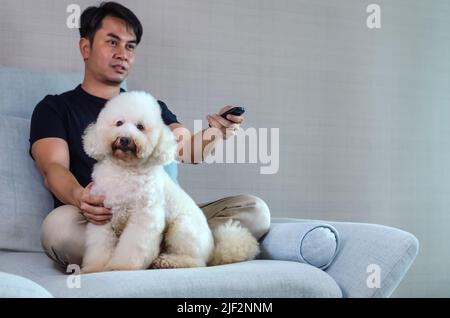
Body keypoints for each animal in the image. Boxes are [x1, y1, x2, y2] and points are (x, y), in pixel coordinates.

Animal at [79, 90, 258, 272]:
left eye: (140, 127)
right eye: (119, 123)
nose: (124, 139)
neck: (125, 171)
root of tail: (213, 251)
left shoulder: (144, 217)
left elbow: (132, 247)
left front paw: (121, 266)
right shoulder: (102, 217)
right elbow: (100, 247)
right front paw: (95, 268)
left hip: (182, 229)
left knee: (196, 262)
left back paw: (167, 261)